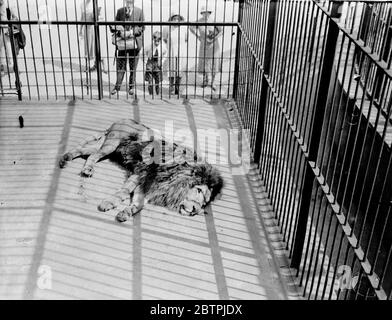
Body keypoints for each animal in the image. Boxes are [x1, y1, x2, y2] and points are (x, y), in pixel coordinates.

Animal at [58, 119, 224, 221]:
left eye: (205, 203)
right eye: (199, 190)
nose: (195, 210)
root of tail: (120, 120)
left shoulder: (146, 184)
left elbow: (139, 203)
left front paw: (126, 213)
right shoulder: (141, 174)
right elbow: (123, 192)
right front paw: (108, 203)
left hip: (108, 148)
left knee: (85, 151)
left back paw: (66, 158)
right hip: (110, 145)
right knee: (92, 155)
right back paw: (85, 169)